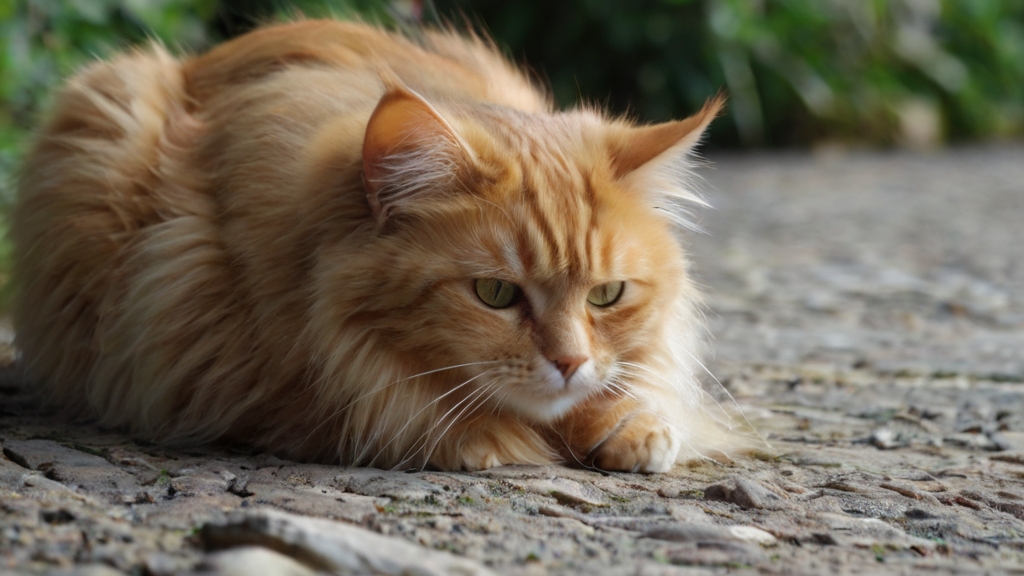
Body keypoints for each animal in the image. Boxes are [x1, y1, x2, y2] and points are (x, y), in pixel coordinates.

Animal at [12, 19, 749, 471]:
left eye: (607, 295)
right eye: (495, 293)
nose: (568, 363)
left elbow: (632, 386)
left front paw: (630, 424)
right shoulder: (199, 354)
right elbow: (400, 408)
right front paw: (487, 437)